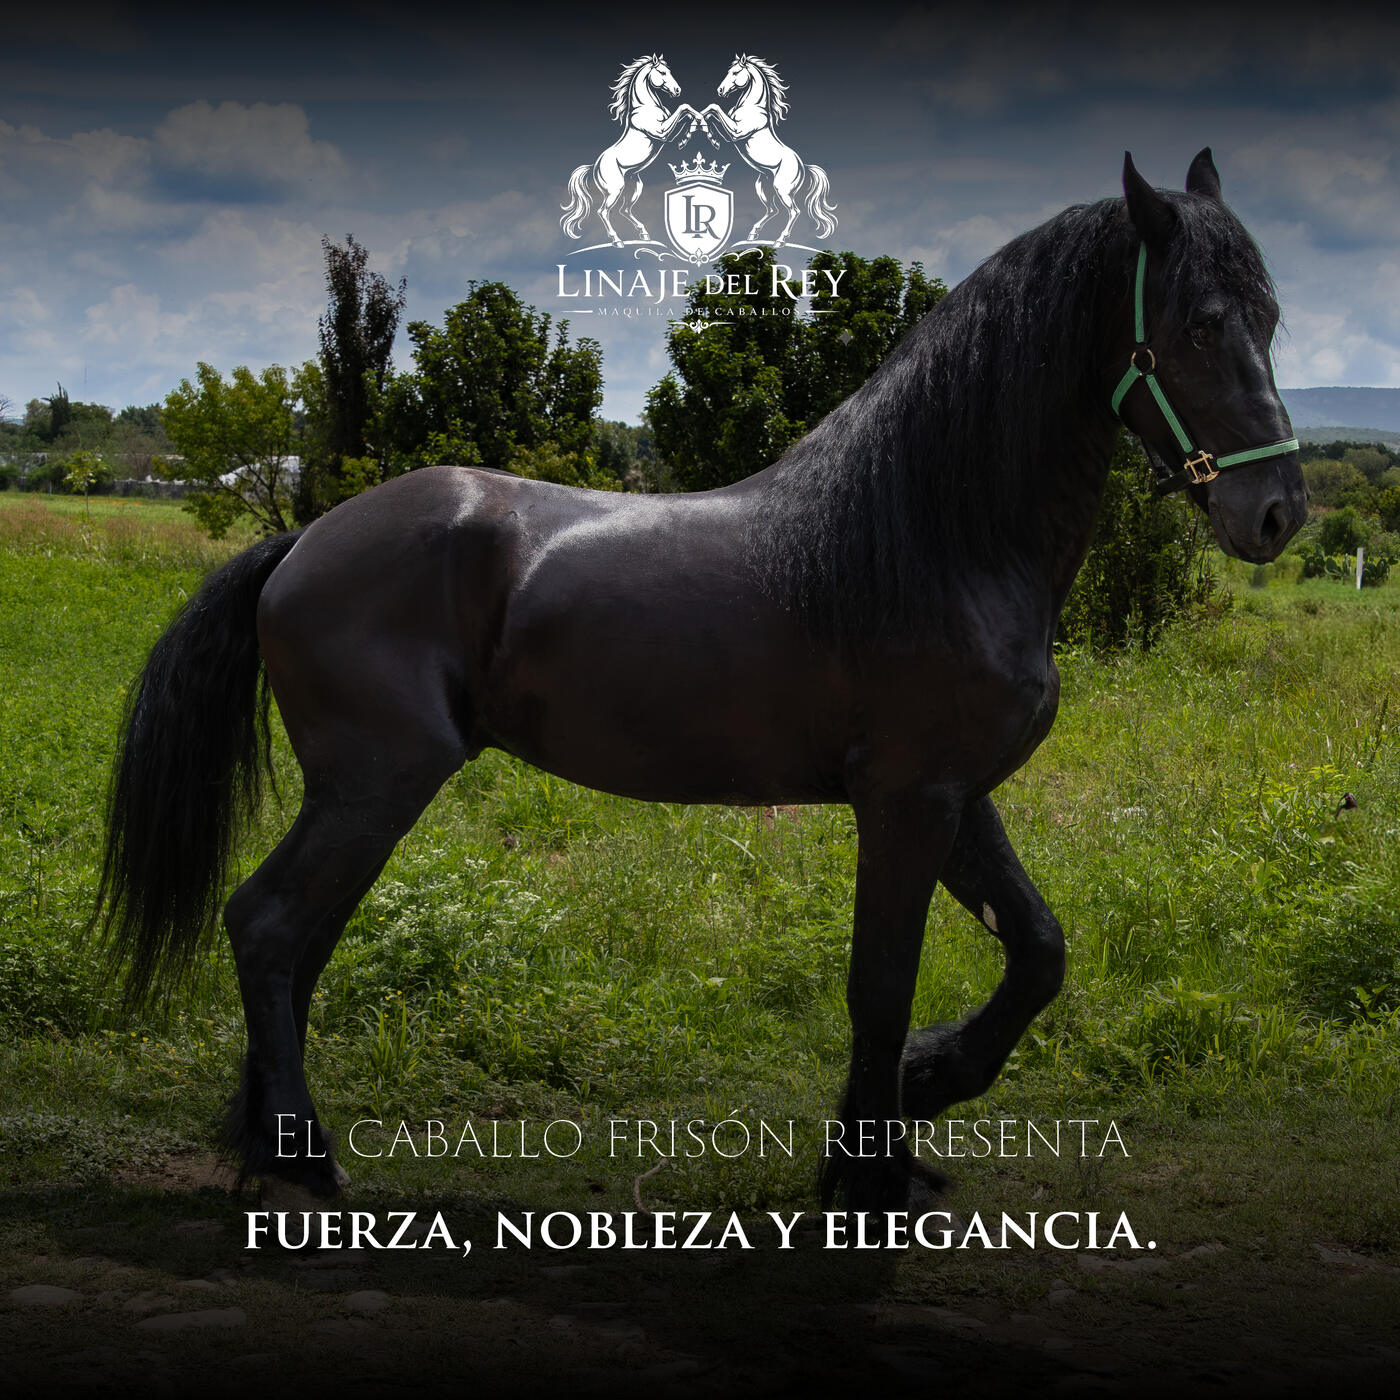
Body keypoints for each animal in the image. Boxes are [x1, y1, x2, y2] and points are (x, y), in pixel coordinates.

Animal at [97, 150, 1306, 1215]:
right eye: (1201, 323)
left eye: (1271, 319)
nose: (1277, 513)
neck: (933, 538)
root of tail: (301, 542)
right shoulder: (907, 802)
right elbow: (880, 983)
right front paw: (869, 1173)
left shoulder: (961, 798)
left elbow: (1038, 951)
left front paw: (924, 1091)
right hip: (376, 782)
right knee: (267, 928)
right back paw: (303, 1158)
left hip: (363, 793)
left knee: (295, 944)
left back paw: (268, 1141)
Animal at [560, 54, 701, 247]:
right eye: (662, 72)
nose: (677, 90)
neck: (645, 106)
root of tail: (594, 167)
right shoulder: (661, 132)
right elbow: (684, 108)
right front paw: (699, 121)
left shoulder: (666, 135)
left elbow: (684, 113)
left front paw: (688, 135)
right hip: (615, 189)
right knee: (603, 211)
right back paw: (617, 240)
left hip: (635, 187)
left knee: (624, 210)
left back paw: (644, 234)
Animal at [690, 54, 837, 248]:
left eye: (735, 72)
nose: (721, 90)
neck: (752, 106)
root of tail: (803, 167)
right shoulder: (731, 136)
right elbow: (713, 113)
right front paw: (706, 133)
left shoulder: (737, 132)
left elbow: (714, 108)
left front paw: (700, 124)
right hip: (763, 187)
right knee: (773, 210)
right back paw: (753, 234)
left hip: (782, 189)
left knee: (794, 211)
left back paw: (779, 241)